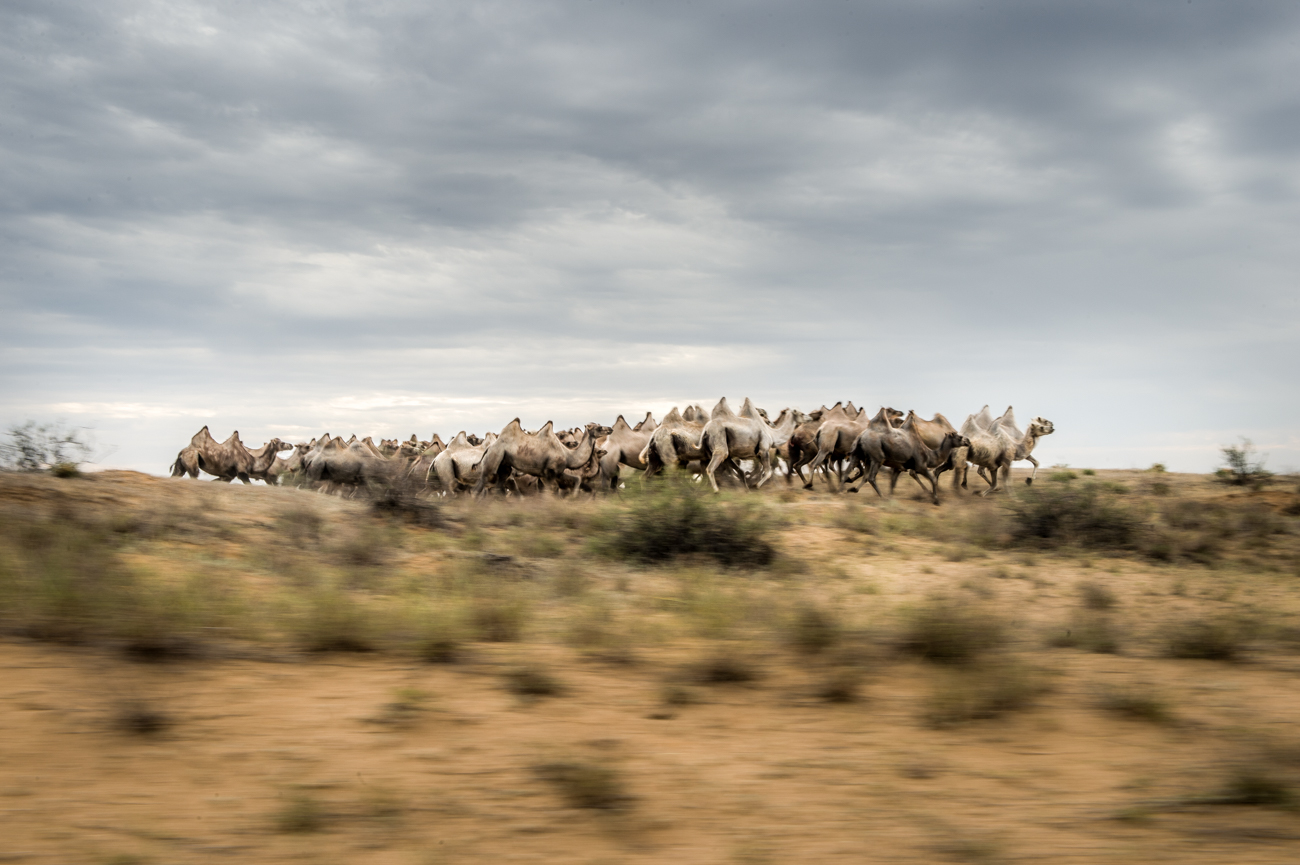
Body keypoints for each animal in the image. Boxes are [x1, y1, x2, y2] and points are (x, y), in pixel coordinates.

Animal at [473, 418, 603, 496]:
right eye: (599, 428)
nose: (608, 429)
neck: (568, 455)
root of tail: (488, 448)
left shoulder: (558, 473)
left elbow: (577, 479)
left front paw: (574, 496)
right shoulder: (550, 473)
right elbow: (550, 492)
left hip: (504, 466)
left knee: (499, 488)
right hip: (494, 458)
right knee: (480, 486)